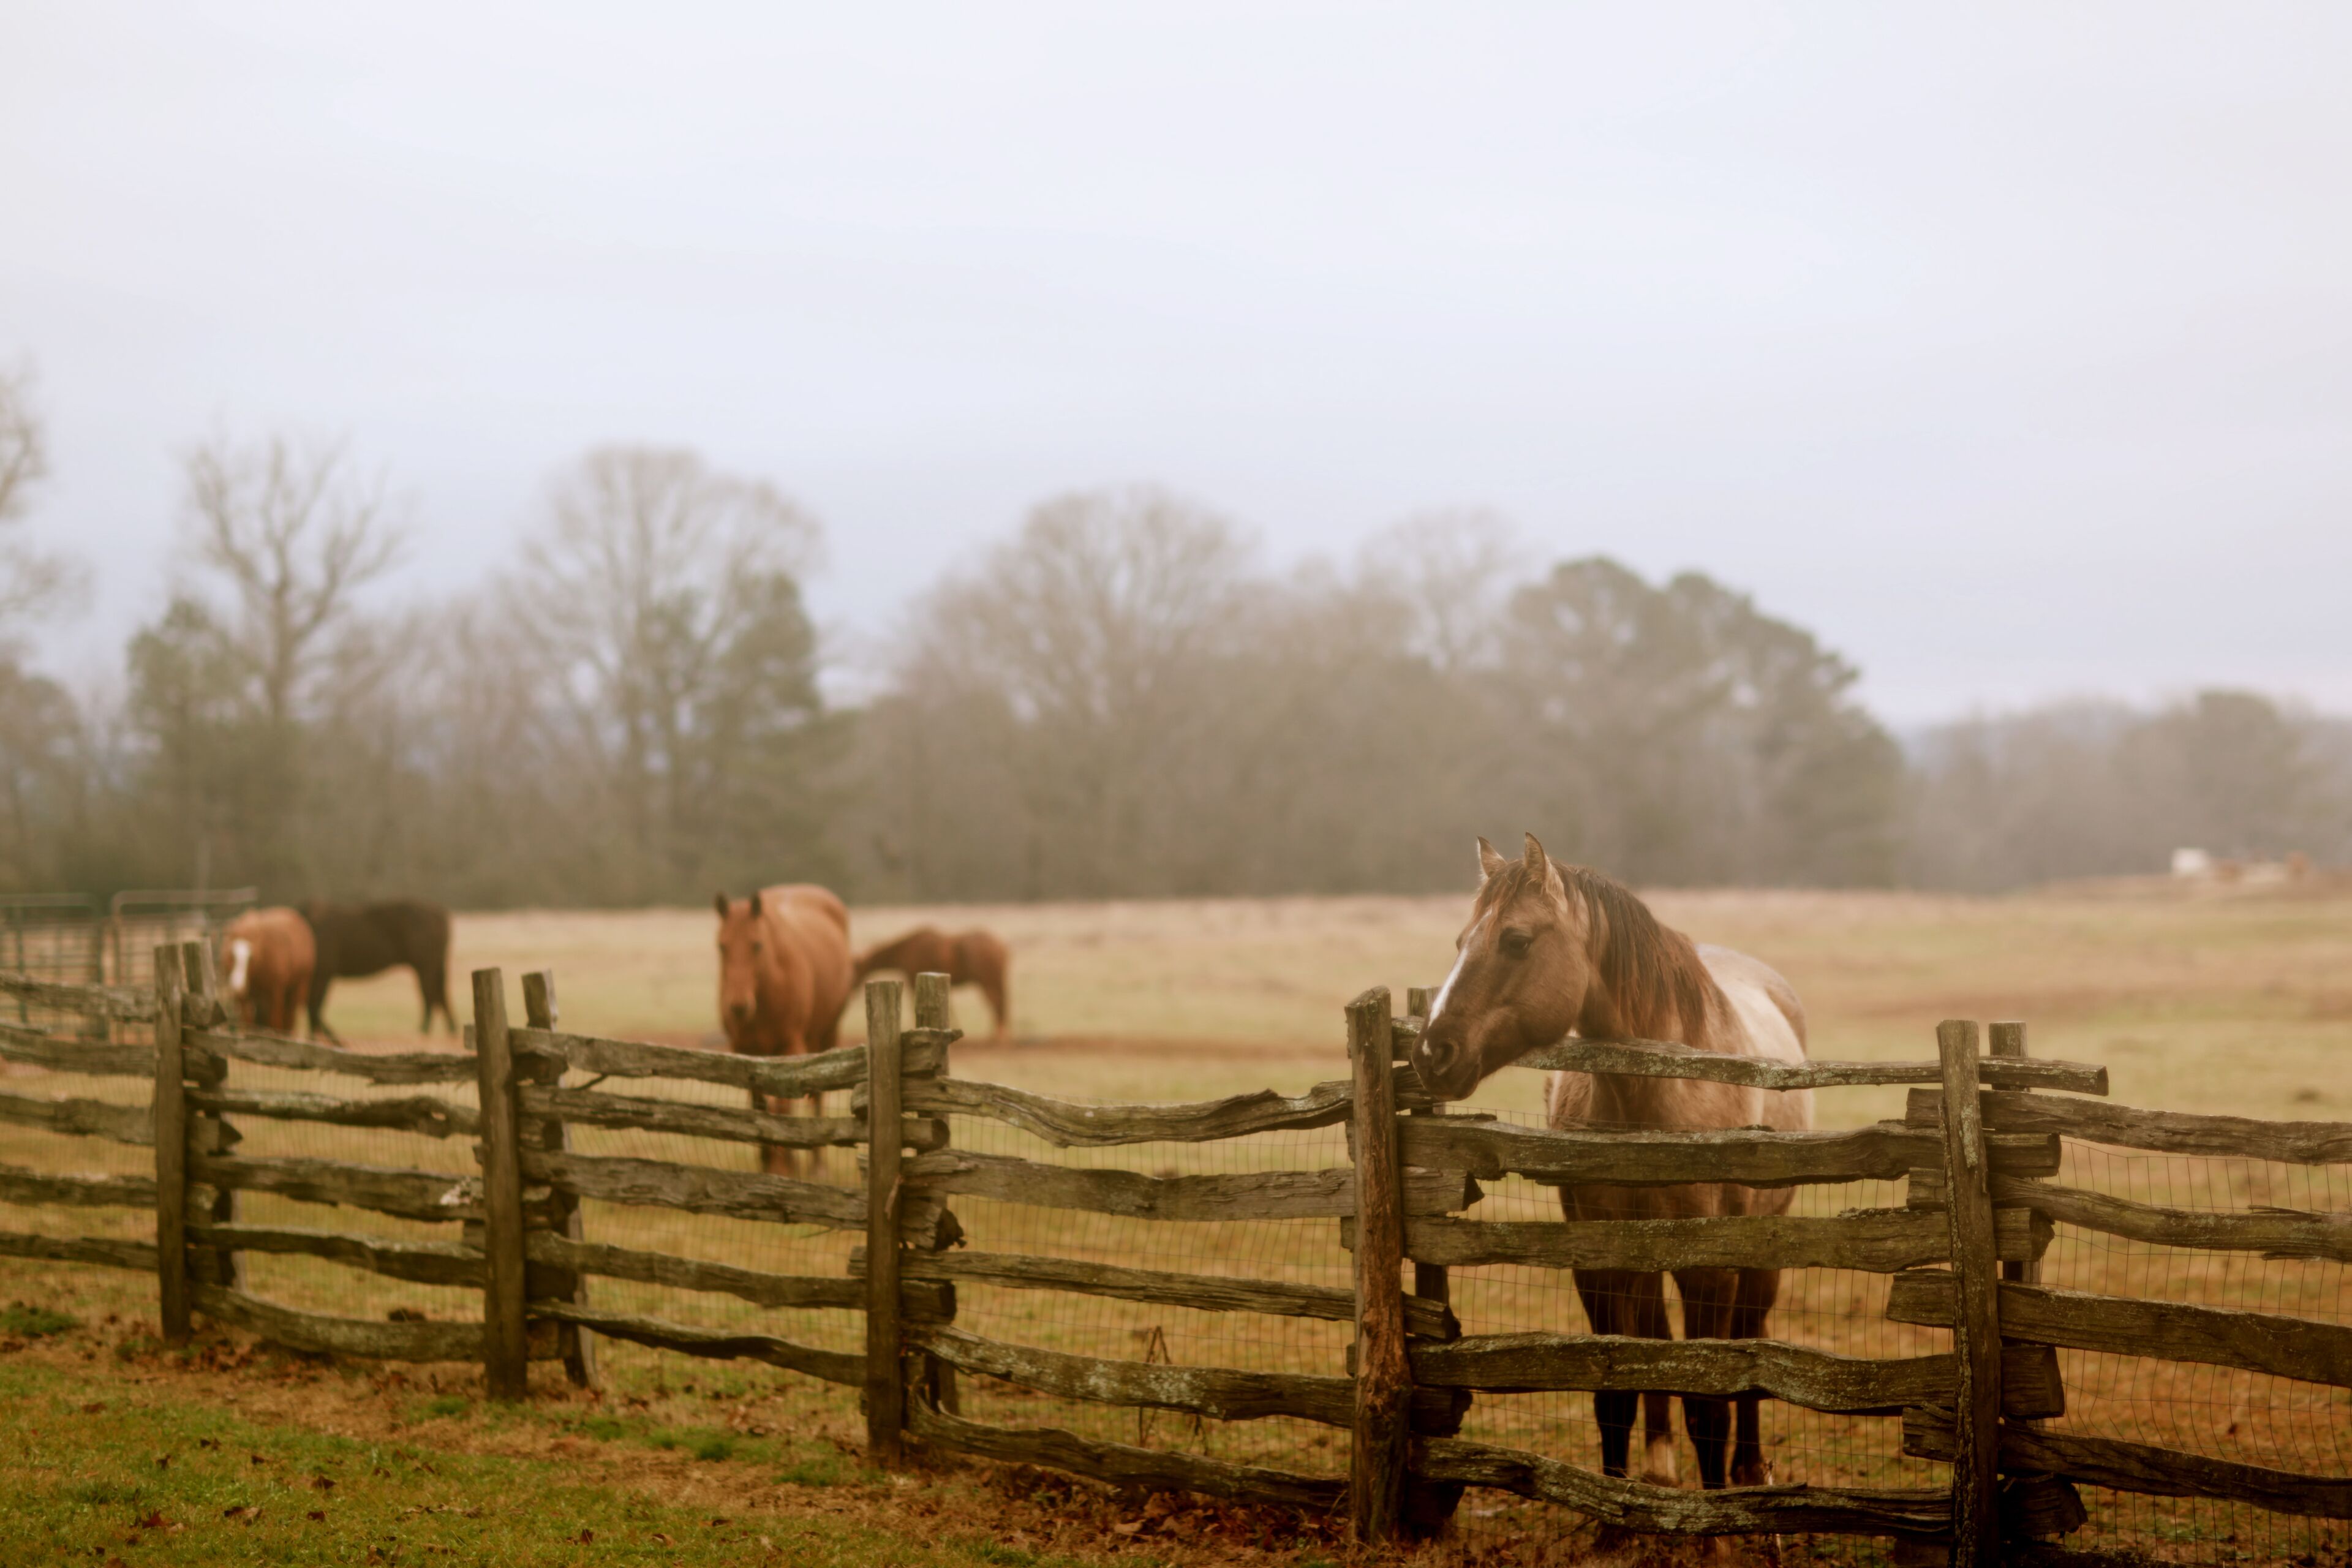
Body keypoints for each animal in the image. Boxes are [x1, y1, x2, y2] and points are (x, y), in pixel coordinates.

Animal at [218, 907, 316, 1034]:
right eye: (231, 955)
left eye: (252, 957)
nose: (238, 985)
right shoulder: (244, 998)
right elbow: (247, 1023)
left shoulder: (275, 993)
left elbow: (275, 1021)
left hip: (299, 988)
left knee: (288, 1018)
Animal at [301, 899, 455, 1044]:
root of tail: (440, 914)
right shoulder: (319, 978)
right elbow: (313, 1009)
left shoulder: (322, 975)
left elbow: (314, 1008)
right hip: (431, 968)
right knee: (438, 996)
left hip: (425, 968)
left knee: (430, 997)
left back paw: (423, 1033)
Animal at [715, 886, 856, 1175]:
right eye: (722, 946)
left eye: (757, 945)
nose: (738, 1006)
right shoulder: (744, 1051)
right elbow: (758, 1105)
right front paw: (768, 1161)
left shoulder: (790, 1048)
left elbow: (783, 1107)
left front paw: (783, 1165)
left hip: (827, 1034)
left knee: (818, 1097)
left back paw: (816, 1164)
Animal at [853, 926, 1010, 1041]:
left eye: (856, 971)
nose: (852, 986)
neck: (907, 948)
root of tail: (1001, 946)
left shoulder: (912, 980)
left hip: (989, 983)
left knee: (997, 1005)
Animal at [1411, 834, 1813, 1493]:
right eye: (1460, 941)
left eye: (1516, 940)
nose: (1431, 1053)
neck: (1656, 1090)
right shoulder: (1599, 1264)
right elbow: (1615, 1394)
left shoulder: (1710, 1271)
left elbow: (1711, 1406)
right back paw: (1659, 1469)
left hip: (1762, 1251)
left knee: (1752, 1342)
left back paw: (1750, 1470)